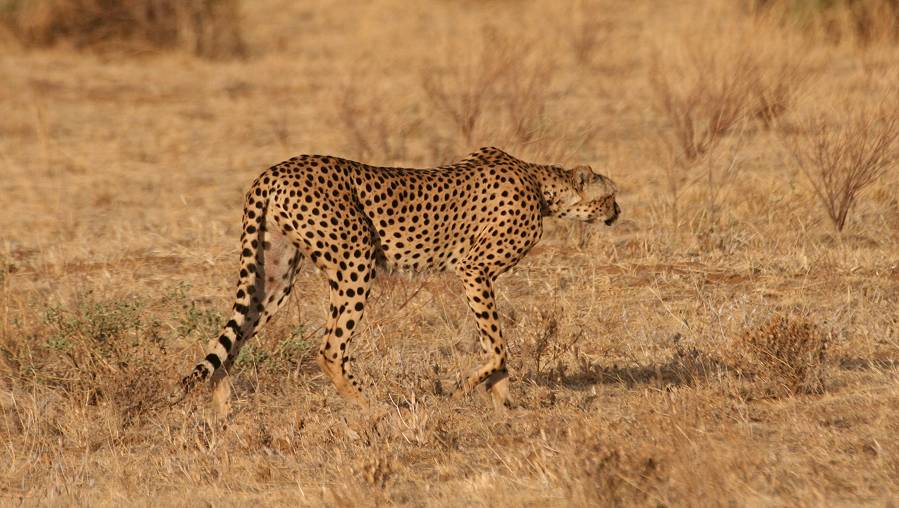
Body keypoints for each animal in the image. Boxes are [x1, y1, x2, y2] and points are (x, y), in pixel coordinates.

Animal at [179, 147, 624, 408]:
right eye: (610, 194)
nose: (618, 212)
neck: (541, 184)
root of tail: (275, 170)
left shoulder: (477, 275)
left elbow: (494, 345)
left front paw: (503, 404)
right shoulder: (474, 269)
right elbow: (497, 346)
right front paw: (466, 390)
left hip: (274, 273)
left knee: (233, 338)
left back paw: (220, 409)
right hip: (355, 260)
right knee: (330, 348)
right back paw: (370, 407)